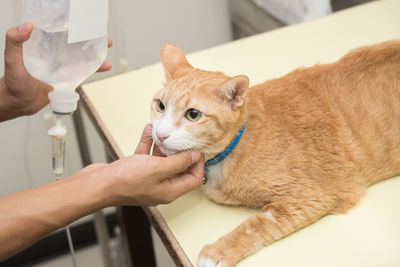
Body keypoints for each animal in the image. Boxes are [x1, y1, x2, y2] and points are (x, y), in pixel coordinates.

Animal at [150, 40, 400, 267]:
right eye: (160, 106)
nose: (160, 135)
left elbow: (258, 223)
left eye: (193, 115)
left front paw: (219, 252)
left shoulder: (313, 195)